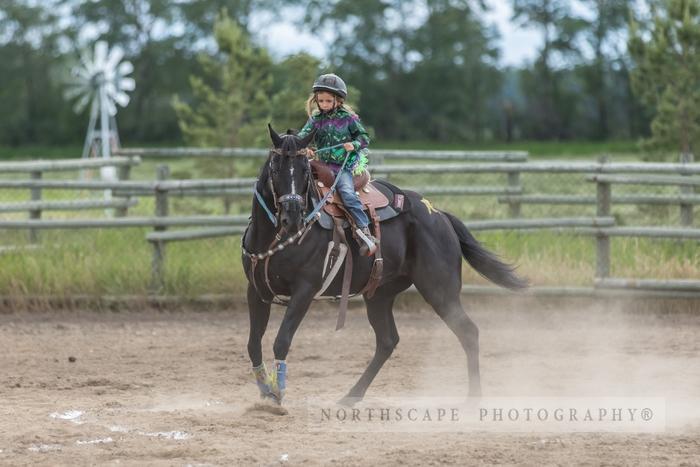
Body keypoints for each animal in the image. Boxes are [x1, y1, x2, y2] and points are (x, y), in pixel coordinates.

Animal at [241, 127, 524, 406]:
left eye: (303, 171)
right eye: (276, 168)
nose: (292, 217)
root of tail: (439, 215)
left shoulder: (305, 290)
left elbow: (282, 340)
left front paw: (278, 395)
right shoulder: (255, 291)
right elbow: (253, 343)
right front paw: (265, 391)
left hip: (440, 290)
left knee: (468, 332)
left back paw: (473, 399)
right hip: (379, 294)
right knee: (387, 341)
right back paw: (351, 395)